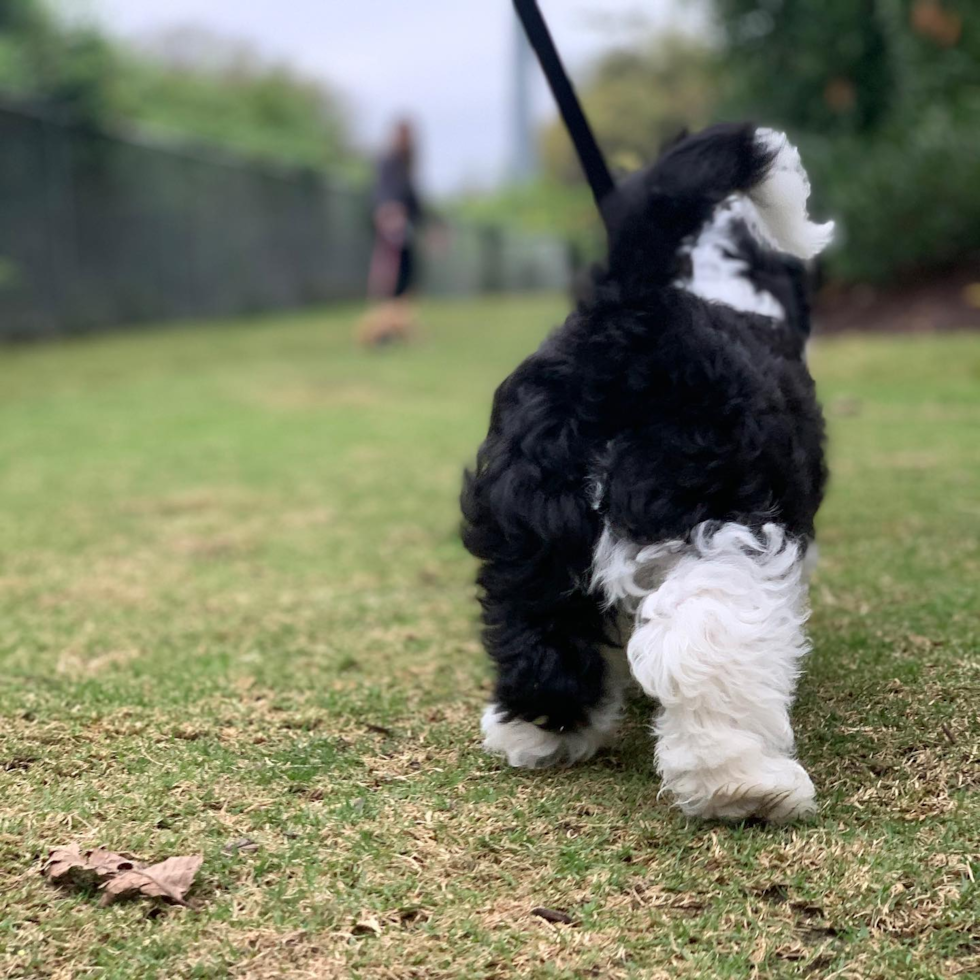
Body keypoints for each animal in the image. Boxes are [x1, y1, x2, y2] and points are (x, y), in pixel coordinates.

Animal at [464, 126, 832, 824]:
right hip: (718, 518)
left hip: (528, 525)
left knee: (537, 624)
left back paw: (539, 732)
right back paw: (742, 784)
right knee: (699, 640)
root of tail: (631, 314)